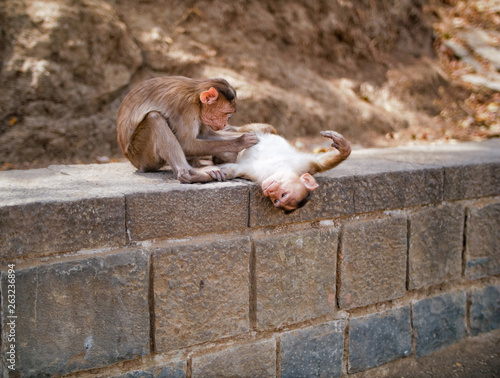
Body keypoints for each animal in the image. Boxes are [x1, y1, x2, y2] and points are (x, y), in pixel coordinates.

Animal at [117, 75, 258, 183]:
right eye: (226, 113)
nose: (225, 122)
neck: (196, 95)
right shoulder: (185, 108)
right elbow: (186, 144)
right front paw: (241, 141)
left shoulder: (200, 113)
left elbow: (204, 135)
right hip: (140, 155)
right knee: (154, 118)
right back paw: (190, 171)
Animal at [217, 127, 350, 213]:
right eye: (283, 194)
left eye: (278, 199)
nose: (270, 192)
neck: (278, 168)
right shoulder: (305, 164)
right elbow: (320, 163)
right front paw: (344, 149)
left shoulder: (254, 174)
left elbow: (233, 169)